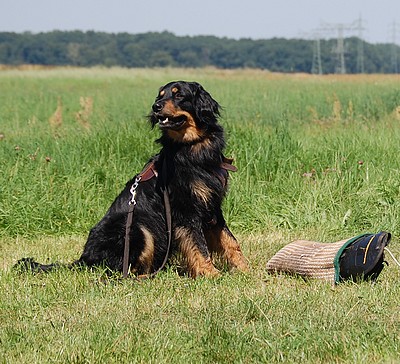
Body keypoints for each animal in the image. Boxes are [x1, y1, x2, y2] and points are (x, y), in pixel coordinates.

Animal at [18, 81, 247, 278]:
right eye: (160, 95)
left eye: (178, 95)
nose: (156, 107)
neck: (193, 147)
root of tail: (84, 259)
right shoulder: (186, 210)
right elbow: (198, 245)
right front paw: (211, 274)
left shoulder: (212, 207)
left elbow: (230, 240)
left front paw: (245, 268)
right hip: (137, 227)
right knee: (119, 269)